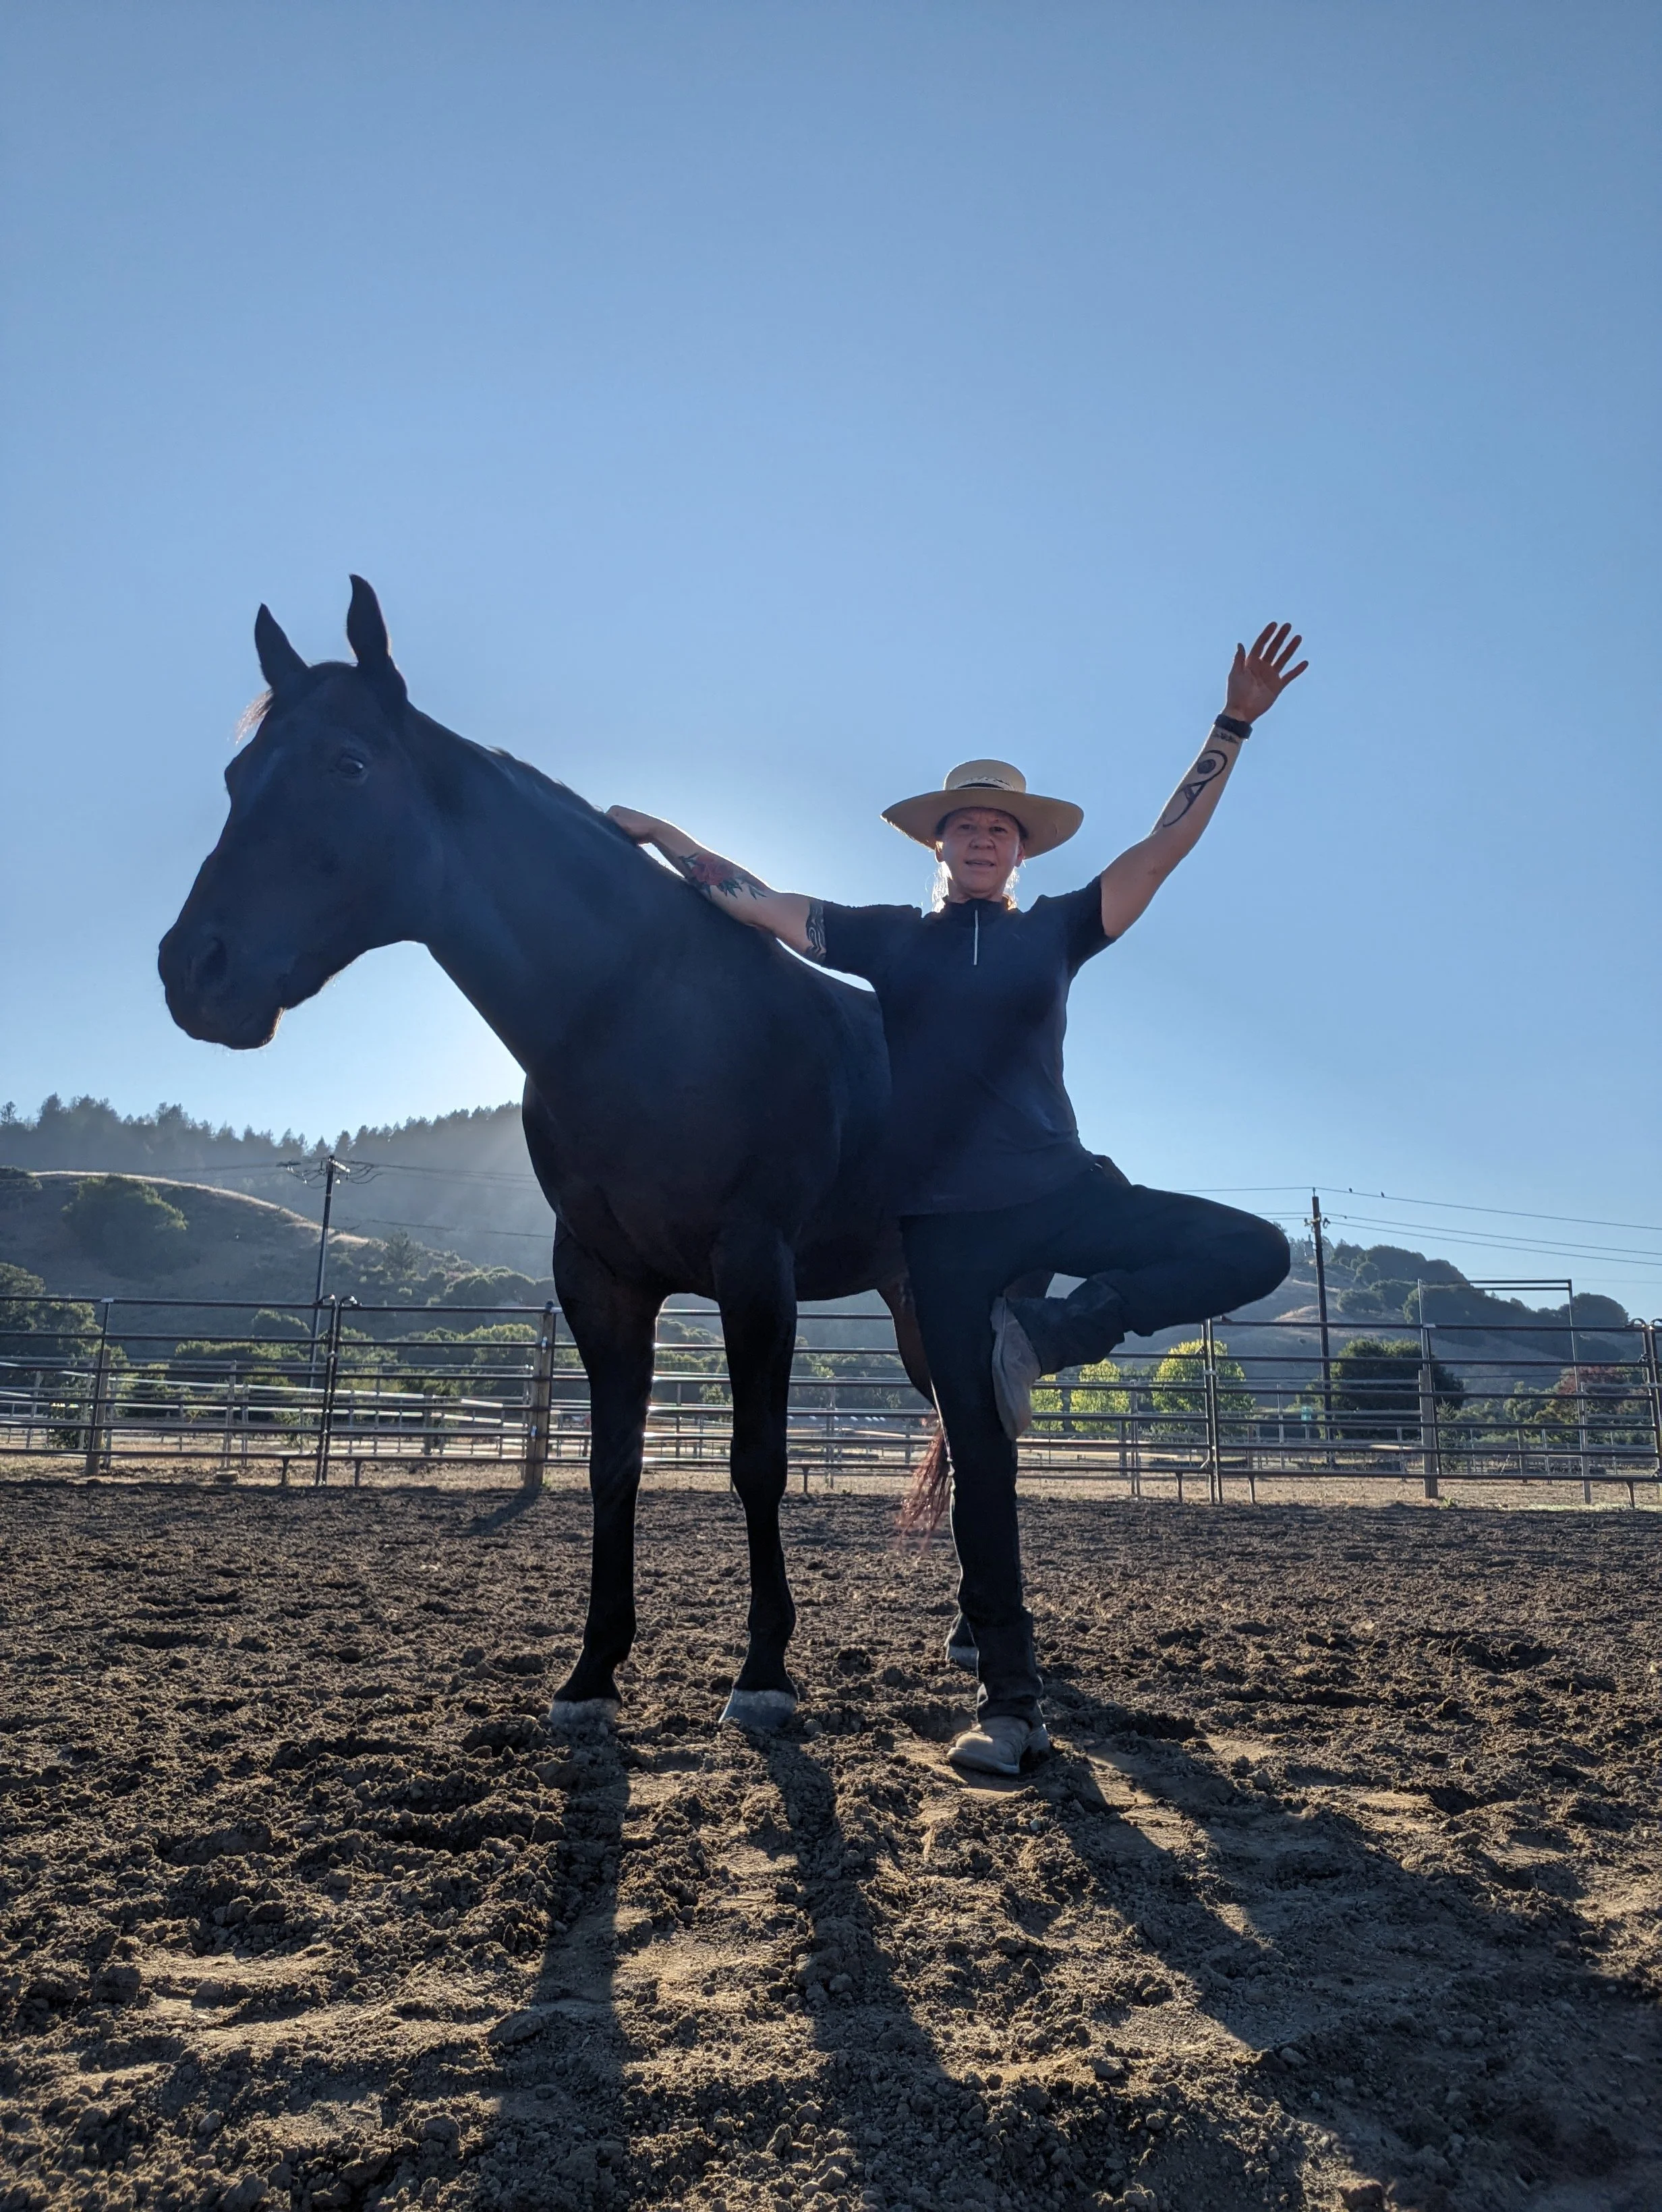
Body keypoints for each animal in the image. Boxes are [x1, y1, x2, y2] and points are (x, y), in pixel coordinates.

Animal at [159, 578, 943, 1729]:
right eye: (233, 777)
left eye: (348, 765)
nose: (195, 969)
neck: (640, 1012)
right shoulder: (601, 1280)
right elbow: (611, 1466)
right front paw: (593, 1672)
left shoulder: (758, 1273)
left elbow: (757, 1463)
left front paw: (762, 1671)